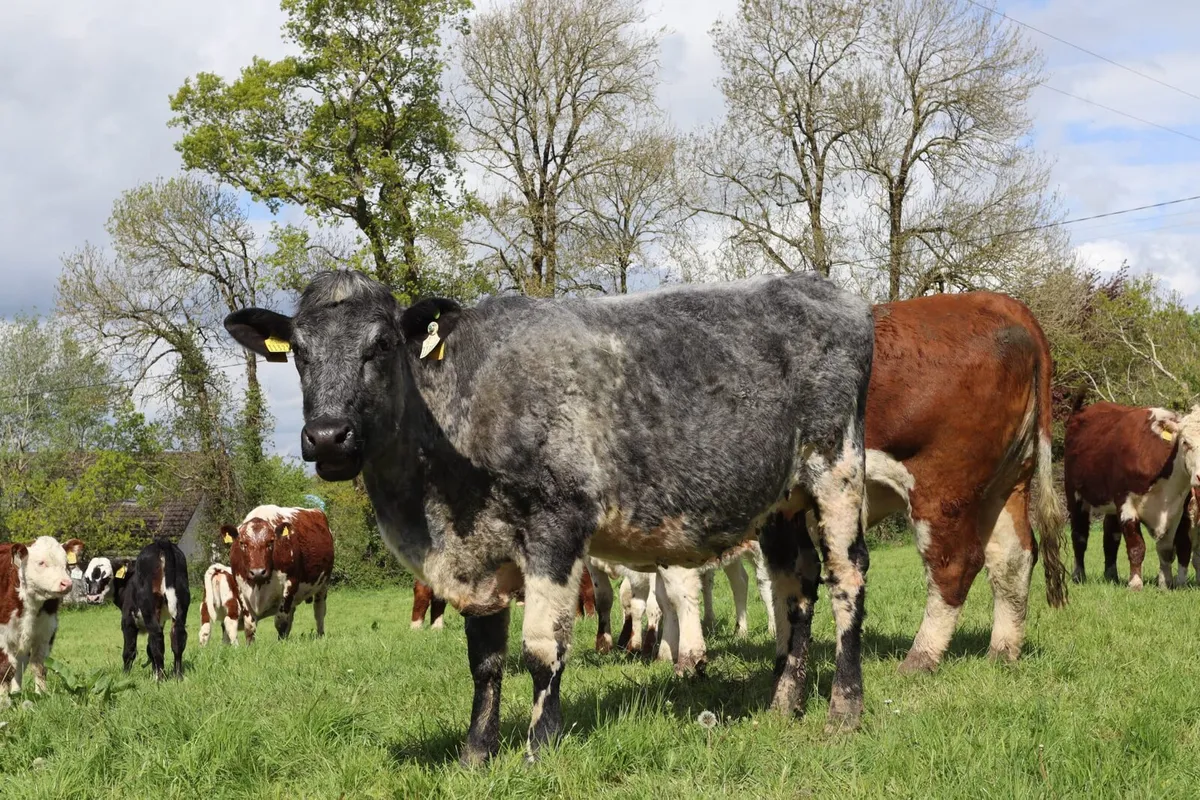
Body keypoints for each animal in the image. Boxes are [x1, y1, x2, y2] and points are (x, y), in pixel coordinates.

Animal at [0, 537, 85, 697]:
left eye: (66, 564)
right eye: (41, 562)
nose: (67, 584)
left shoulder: (46, 632)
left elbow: (39, 666)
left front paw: (42, 695)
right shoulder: (3, 636)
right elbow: (4, 669)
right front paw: (3, 698)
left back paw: (16, 692)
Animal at [219, 505, 335, 642]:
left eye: (271, 542)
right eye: (242, 543)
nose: (258, 572)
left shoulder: (290, 584)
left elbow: (281, 622)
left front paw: (281, 642)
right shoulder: (241, 589)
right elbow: (250, 624)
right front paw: (250, 644)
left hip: (323, 585)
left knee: (319, 611)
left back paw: (320, 635)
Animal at [1065, 402, 1200, 589]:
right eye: (1186, 442)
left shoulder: (1176, 510)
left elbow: (1166, 549)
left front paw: (1165, 583)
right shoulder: (1126, 503)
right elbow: (1136, 546)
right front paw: (1135, 583)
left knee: (1111, 537)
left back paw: (1111, 575)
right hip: (1075, 495)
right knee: (1079, 536)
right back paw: (1078, 575)